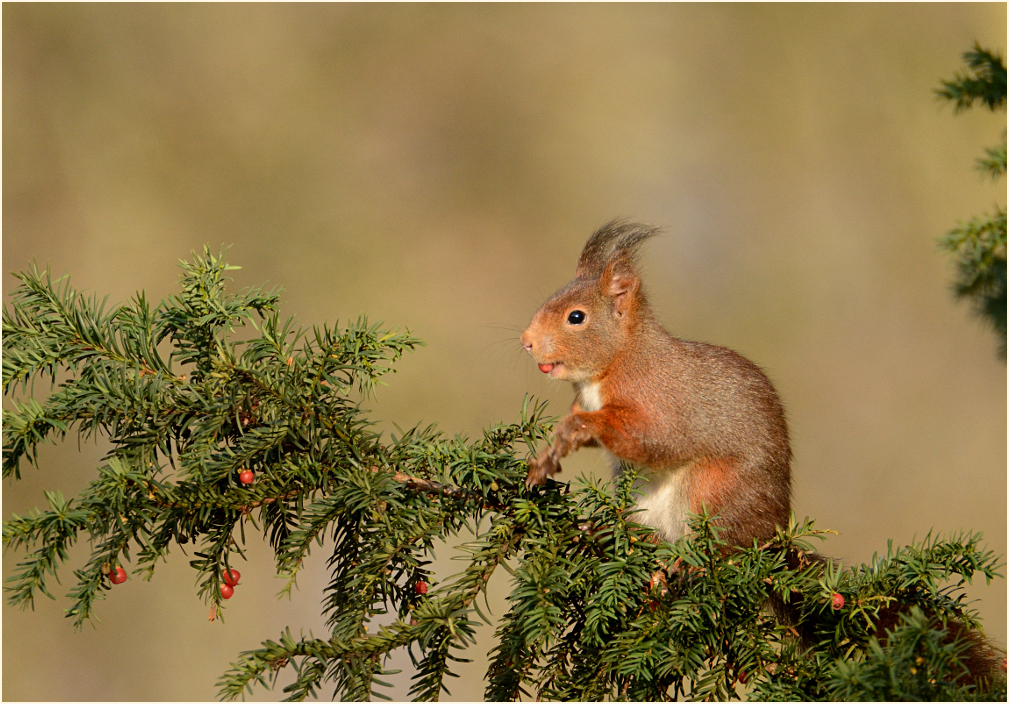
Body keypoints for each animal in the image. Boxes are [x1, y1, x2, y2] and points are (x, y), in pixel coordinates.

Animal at [524, 219, 791, 544]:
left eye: (576, 317)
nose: (526, 341)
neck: (617, 362)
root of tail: (776, 531)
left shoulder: (660, 401)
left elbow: (653, 438)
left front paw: (575, 427)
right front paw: (546, 458)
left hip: (714, 488)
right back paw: (603, 531)